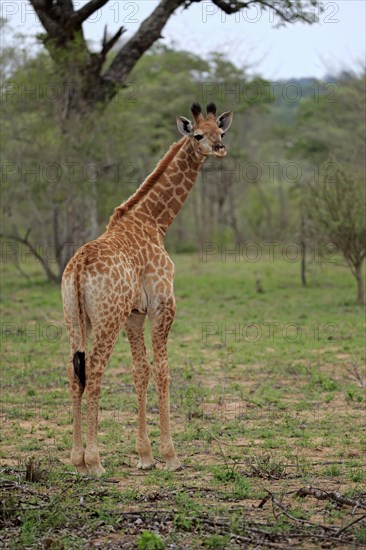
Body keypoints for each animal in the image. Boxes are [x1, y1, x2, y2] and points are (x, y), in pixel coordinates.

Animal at [61, 104, 233, 478]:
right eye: (198, 135)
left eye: (222, 131)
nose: (219, 149)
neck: (155, 221)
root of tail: (78, 269)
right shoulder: (162, 306)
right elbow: (164, 371)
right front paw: (170, 456)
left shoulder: (135, 315)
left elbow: (140, 372)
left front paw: (145, 455)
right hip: (107, 319)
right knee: (94, 369)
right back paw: (94, 461)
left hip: (75, 319)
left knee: (73, 371)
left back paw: (76, 460)